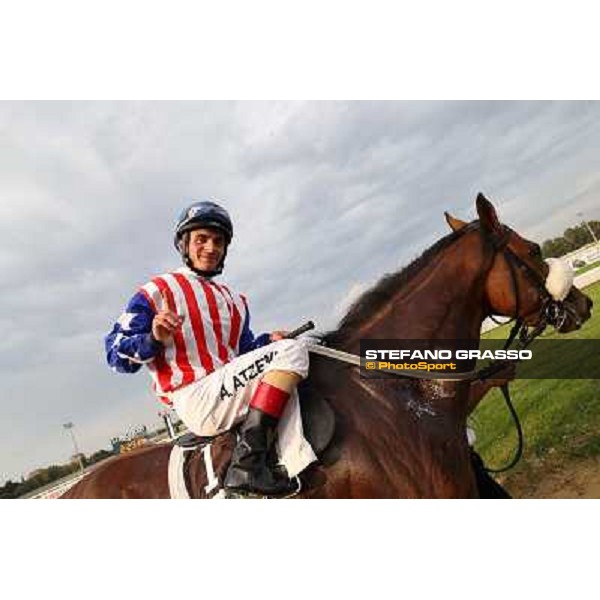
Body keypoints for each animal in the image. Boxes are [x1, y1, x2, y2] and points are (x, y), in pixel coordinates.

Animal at [63, 195, 592, 500]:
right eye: (533, 251)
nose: (584, 303)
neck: (392, 396)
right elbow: (118, 343)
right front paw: (157, 330)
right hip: (210, 401)